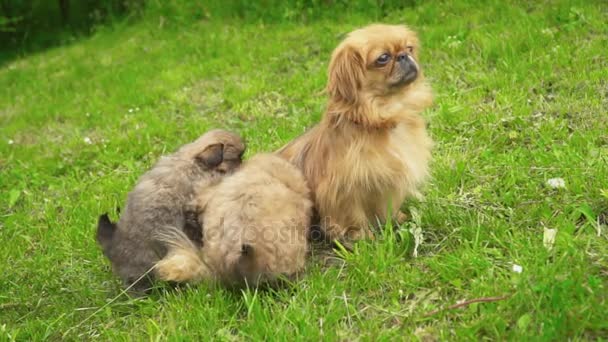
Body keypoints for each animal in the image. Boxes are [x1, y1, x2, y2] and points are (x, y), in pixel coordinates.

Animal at [278, 24, 434, 242]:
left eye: (409, 48)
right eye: (383, 58)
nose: (404, 55)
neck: (383, 117)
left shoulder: (389, 181)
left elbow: (389, 206)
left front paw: (397, 219)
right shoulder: (344, 189)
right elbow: (353, 215)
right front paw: (362, 236)